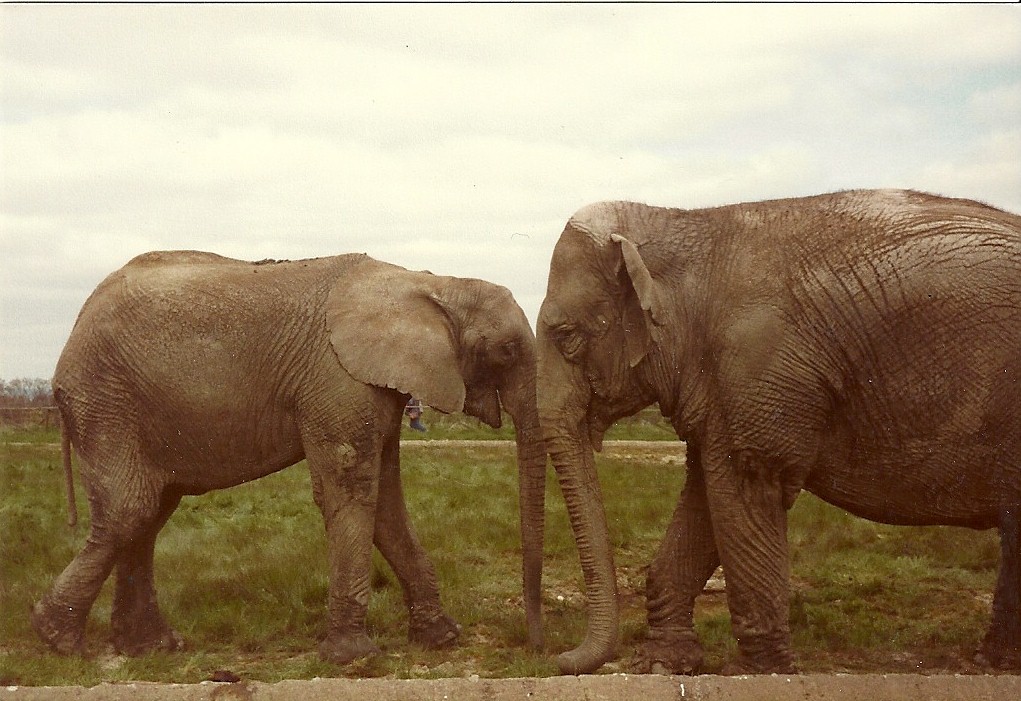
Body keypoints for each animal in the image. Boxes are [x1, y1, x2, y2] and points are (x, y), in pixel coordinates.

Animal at [32, 250, 545, 665]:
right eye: (507, 350)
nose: (536, 647)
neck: (429, 283)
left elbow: (384, 502)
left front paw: (442, 639)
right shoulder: (337, 379)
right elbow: (350, 493)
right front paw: (354, 658)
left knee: (149, 515)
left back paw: (152, 648)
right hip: (106, 401)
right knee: (130, 510)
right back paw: (58, 641)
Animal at [529, 189, 1021, 675]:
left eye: (567, 336)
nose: (557, 657)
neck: (680, 222)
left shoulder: (758, 362)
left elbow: (742, 489)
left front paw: (763, 673)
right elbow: (706, 492)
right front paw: (664, 666)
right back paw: (993, 663)